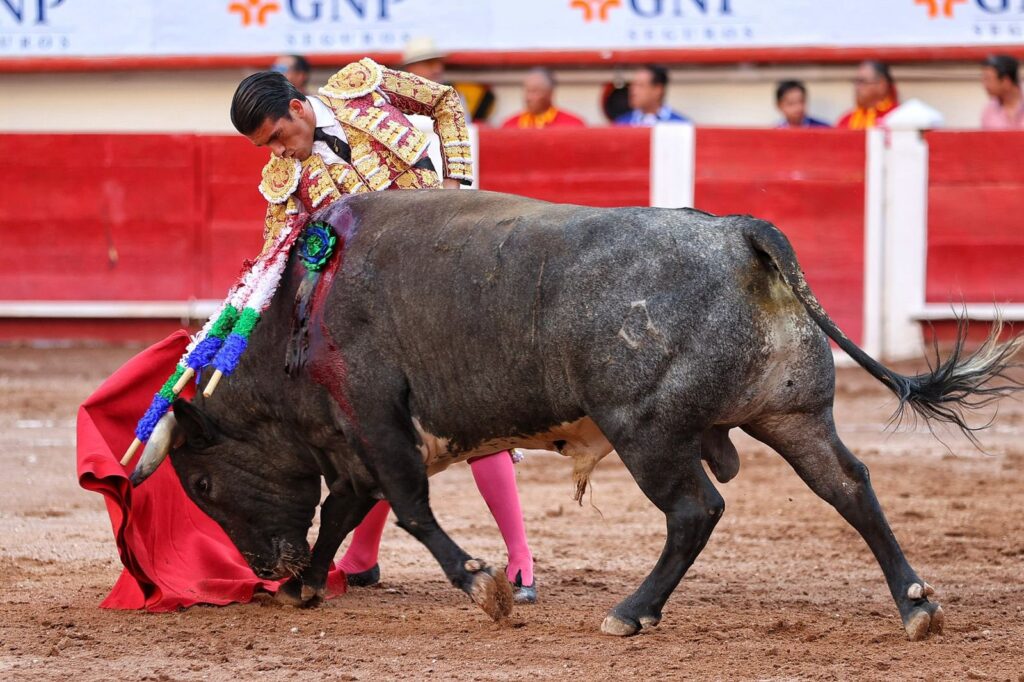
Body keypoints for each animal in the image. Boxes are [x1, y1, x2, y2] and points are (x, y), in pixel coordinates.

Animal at [132, 189, 1019, 638]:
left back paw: (631, 612)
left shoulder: (376, 419)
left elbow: (409, 508)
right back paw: (916, 606)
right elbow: (346, 510)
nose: (265, 567)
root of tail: (738, 232)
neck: (298, 307)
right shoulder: (351, 442)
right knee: (851, 487)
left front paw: (481, 585)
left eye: (201, 485)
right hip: (792, 414)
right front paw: (310, 585)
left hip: (646, 429)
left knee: (695, 509)